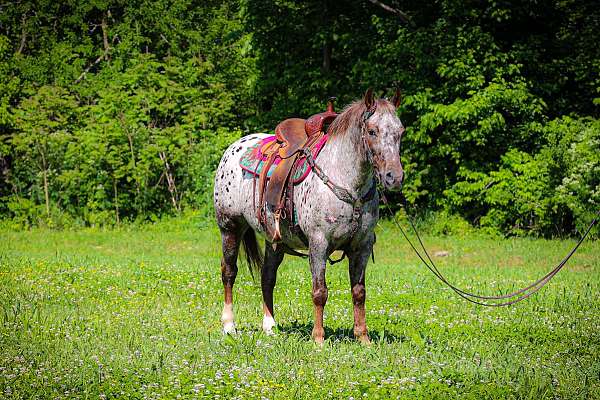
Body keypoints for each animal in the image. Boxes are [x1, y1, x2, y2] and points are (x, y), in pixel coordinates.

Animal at [213, 90, 406, 344]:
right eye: (372, 131)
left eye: (400, 131)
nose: (395, 177)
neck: (346, 183)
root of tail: (233, 148)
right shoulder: (319, 243)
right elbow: (320, 292)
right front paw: (318, 339)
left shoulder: (361, 246)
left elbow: (359, 292)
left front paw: (363, 338)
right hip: (230, 227)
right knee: (229, 272)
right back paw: (229, 326)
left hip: (274, 240)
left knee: (267, 276)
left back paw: (270, 326)